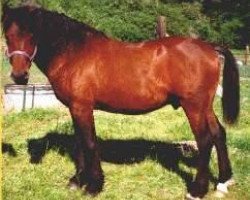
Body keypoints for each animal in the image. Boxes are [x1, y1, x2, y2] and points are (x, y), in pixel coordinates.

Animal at [1, 4, 239, 200]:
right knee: (218, 133)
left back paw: (197, 190)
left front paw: (94, 186)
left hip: (194, 106)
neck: (74, 52)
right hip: (205, 106)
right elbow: (79, 142)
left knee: (205, 140)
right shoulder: (74, 108)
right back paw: (223, 181)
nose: (19, 76)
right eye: (7, 35)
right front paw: (77, 181)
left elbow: (89, 143)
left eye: (32, 33)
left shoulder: (82, 107)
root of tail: (210, 47)